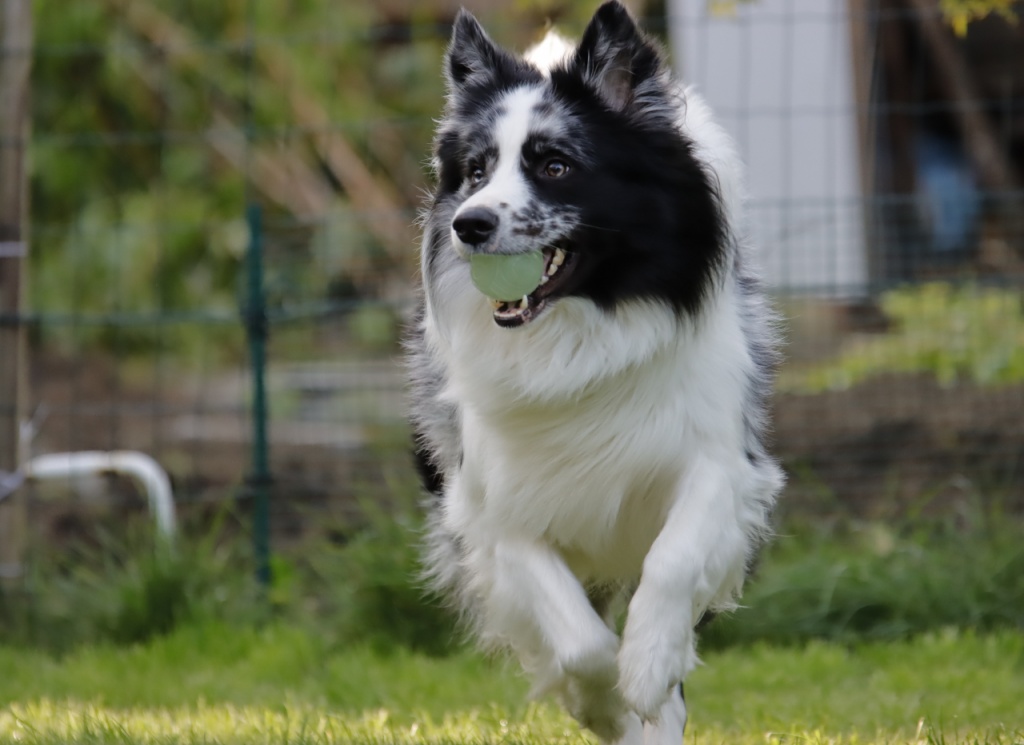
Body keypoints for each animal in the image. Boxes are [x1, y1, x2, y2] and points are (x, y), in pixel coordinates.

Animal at [407, 2, 782, 740]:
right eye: (475, 170)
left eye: (555, 164)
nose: (469, 224)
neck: (578, 334)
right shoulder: (493, 513)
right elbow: (578, 641)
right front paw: (605, 700)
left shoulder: (723, 466)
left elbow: (672, 560)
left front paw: (648, 668)